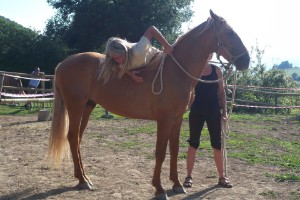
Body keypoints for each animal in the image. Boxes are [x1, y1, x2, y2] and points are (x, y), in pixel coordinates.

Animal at [48, 9, 250, 200]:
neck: (176, 72)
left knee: (77, 139)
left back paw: (83, 178)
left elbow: (174, 149)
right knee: (72, 137)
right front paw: (159, 189)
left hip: (87, 107)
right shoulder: (164, 120)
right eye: (229, 33)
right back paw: (83, 180)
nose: (246, 60)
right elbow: (160, 152)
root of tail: (62, 64)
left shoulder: (177, 119)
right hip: (75, 107)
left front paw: (177, 184)